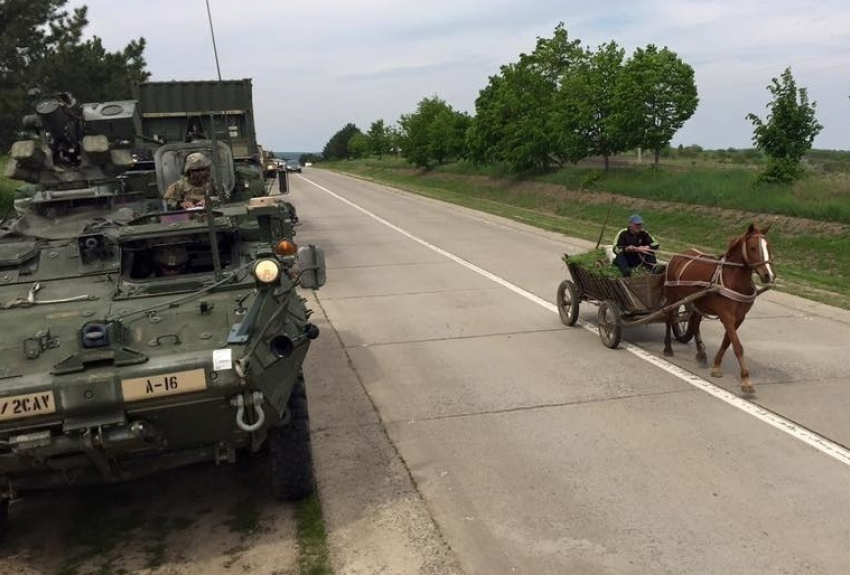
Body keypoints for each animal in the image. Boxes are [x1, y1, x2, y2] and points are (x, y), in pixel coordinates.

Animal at [664, 225, 776, 396]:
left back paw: (701, 354)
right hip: (673, 297)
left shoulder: (739, 318)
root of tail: (679, 255)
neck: (735, 281)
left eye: (768, 246)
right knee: (669, 318)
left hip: (697, 302)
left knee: (694, 324)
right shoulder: (727, 316)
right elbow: (738, 346)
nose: (768, 275)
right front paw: (746, 380)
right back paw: (668, 348)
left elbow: (727, 341)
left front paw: (716, 366)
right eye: (752, 248)